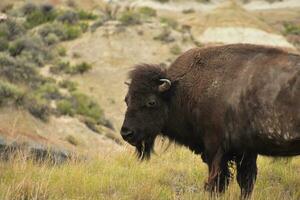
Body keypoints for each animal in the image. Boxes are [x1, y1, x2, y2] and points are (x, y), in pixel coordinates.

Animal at [120, 43, 300, 198]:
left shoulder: (215, 149)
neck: (178, 92)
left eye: (151, 102)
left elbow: (218, 182)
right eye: (126, 100)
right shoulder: (245, 151)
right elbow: (246, 182)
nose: (126, 133)